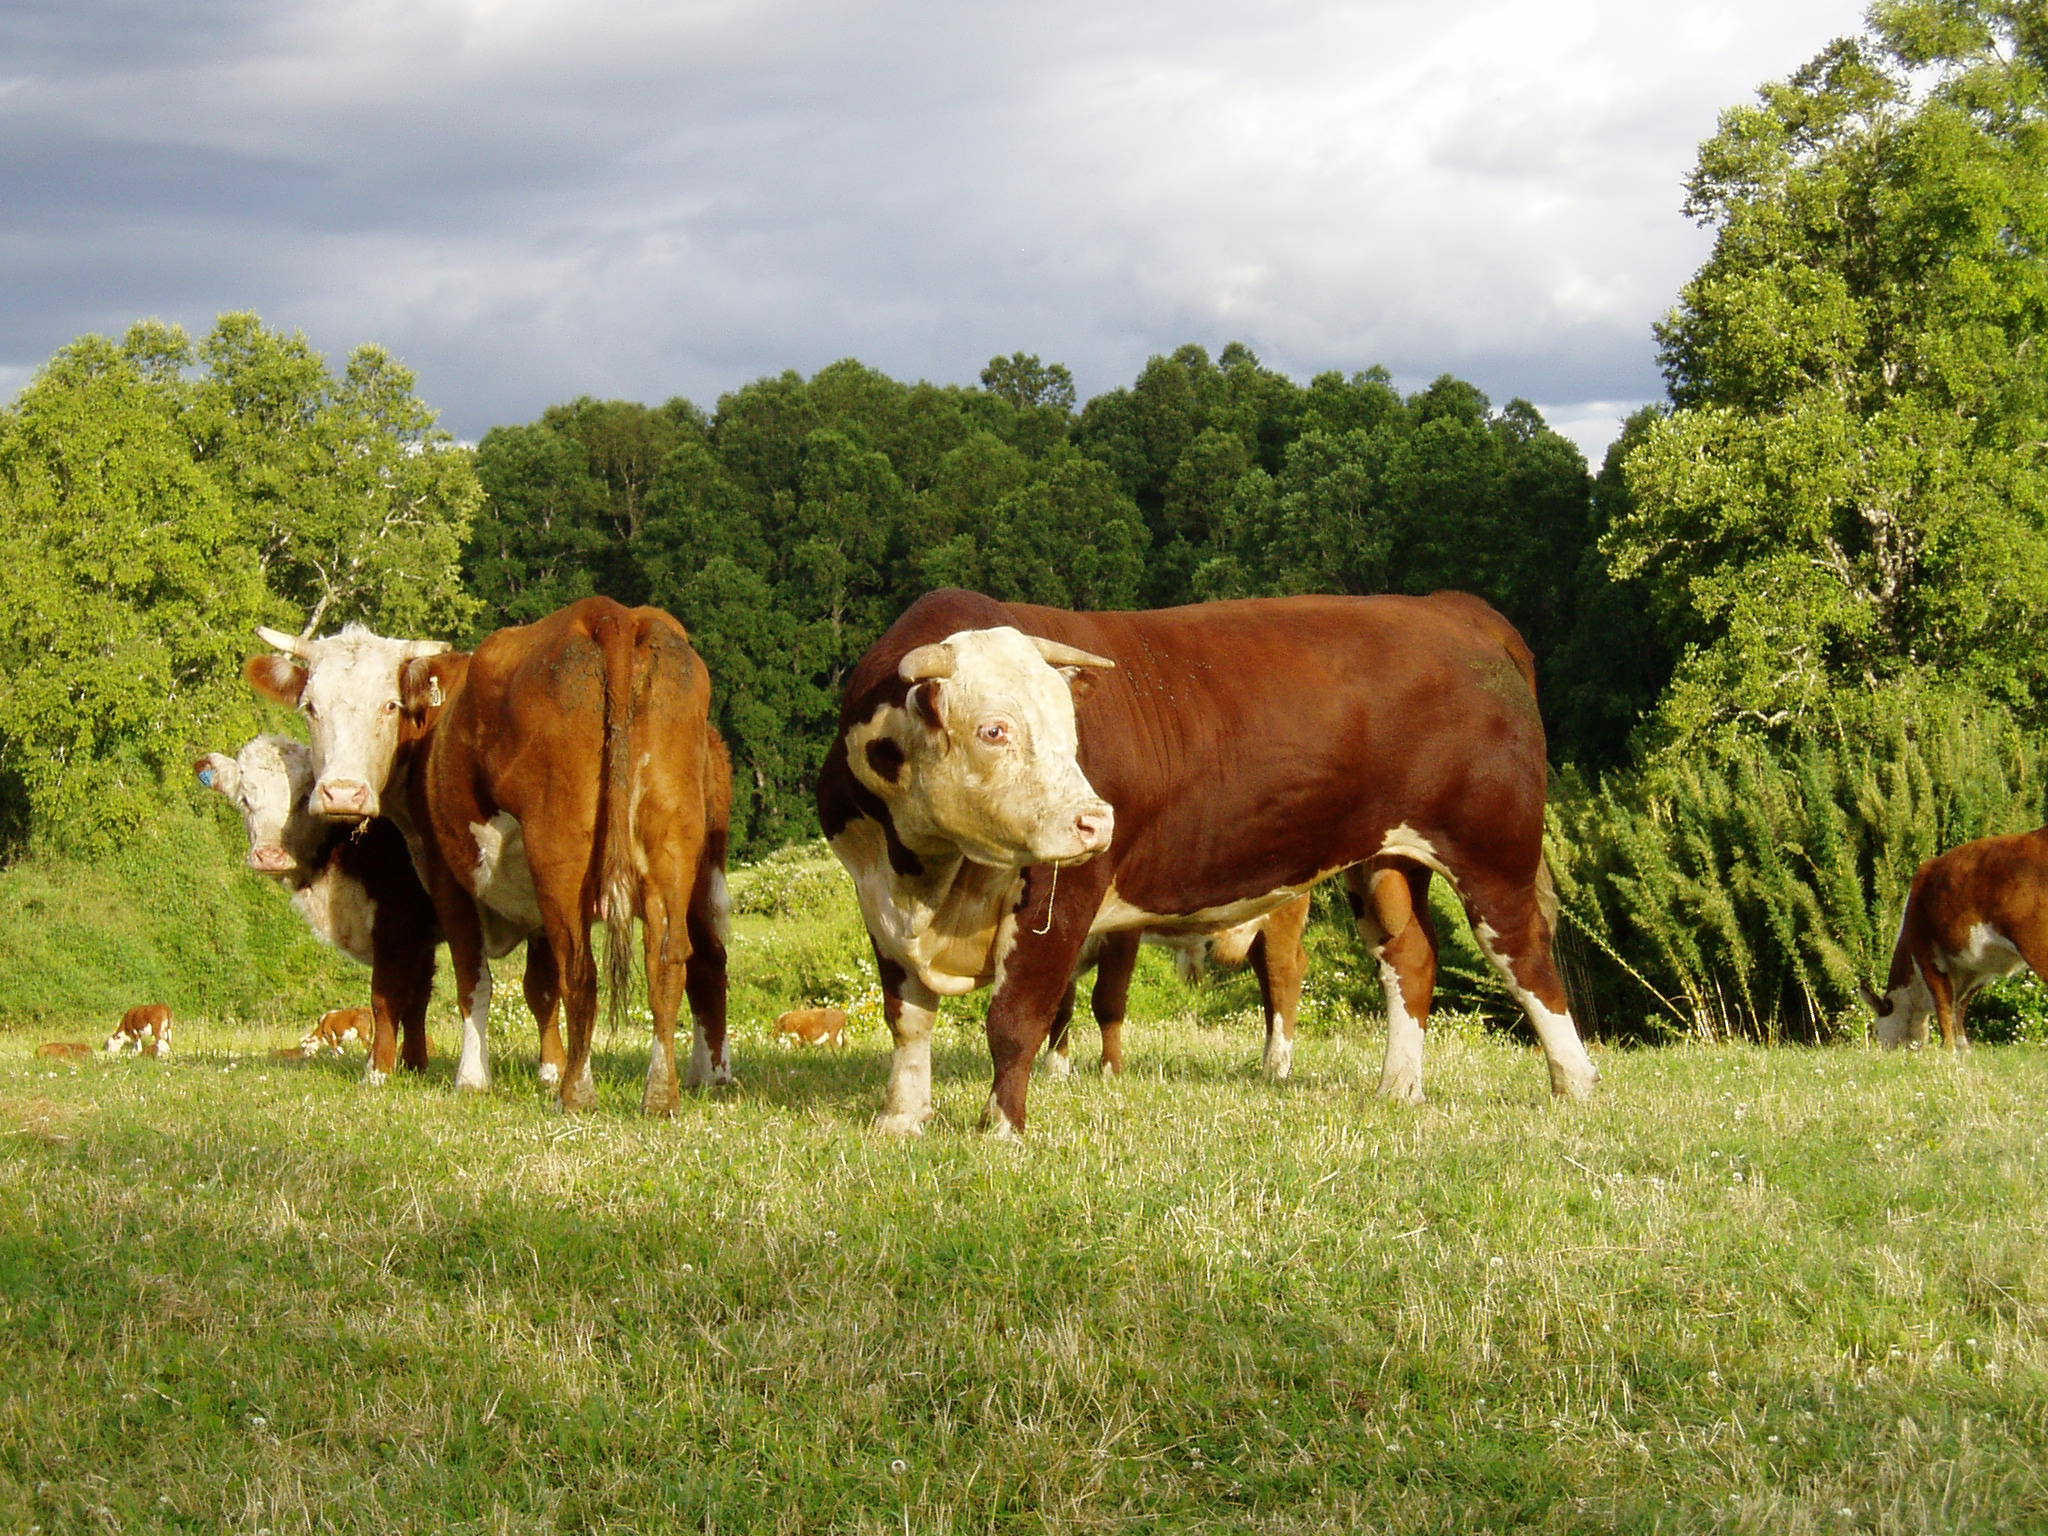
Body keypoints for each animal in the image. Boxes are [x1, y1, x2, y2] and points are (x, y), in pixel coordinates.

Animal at [195, 733, 452, 1081]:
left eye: (304, 799)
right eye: (245, 800)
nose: (269, 856)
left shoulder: (396, 922)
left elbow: (386, 998)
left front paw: (378, 1071)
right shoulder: (420, 935)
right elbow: (418, 999)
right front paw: (414, 1066)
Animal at [247, 593, 733, 1114]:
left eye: (389, 704)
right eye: (310, 706)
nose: (342, 793)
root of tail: (609, 614)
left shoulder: (445, 877)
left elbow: (469, 980)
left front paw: (473, 1077)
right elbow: (538, 988)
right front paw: (543, 1069)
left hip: (561, 858)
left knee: (582, 971)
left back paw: (577, 1093)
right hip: (677, 851)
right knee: (681, 961)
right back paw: (679, 1086)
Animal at [1859, 823, 2048, 1056]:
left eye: (1877, 1031)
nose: (1886, 1051)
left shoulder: (1927, 954)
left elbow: (1943, 1006)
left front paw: (1948, 1050)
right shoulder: (1975, 969)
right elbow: (1958, 1006)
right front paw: (1963, 1049)